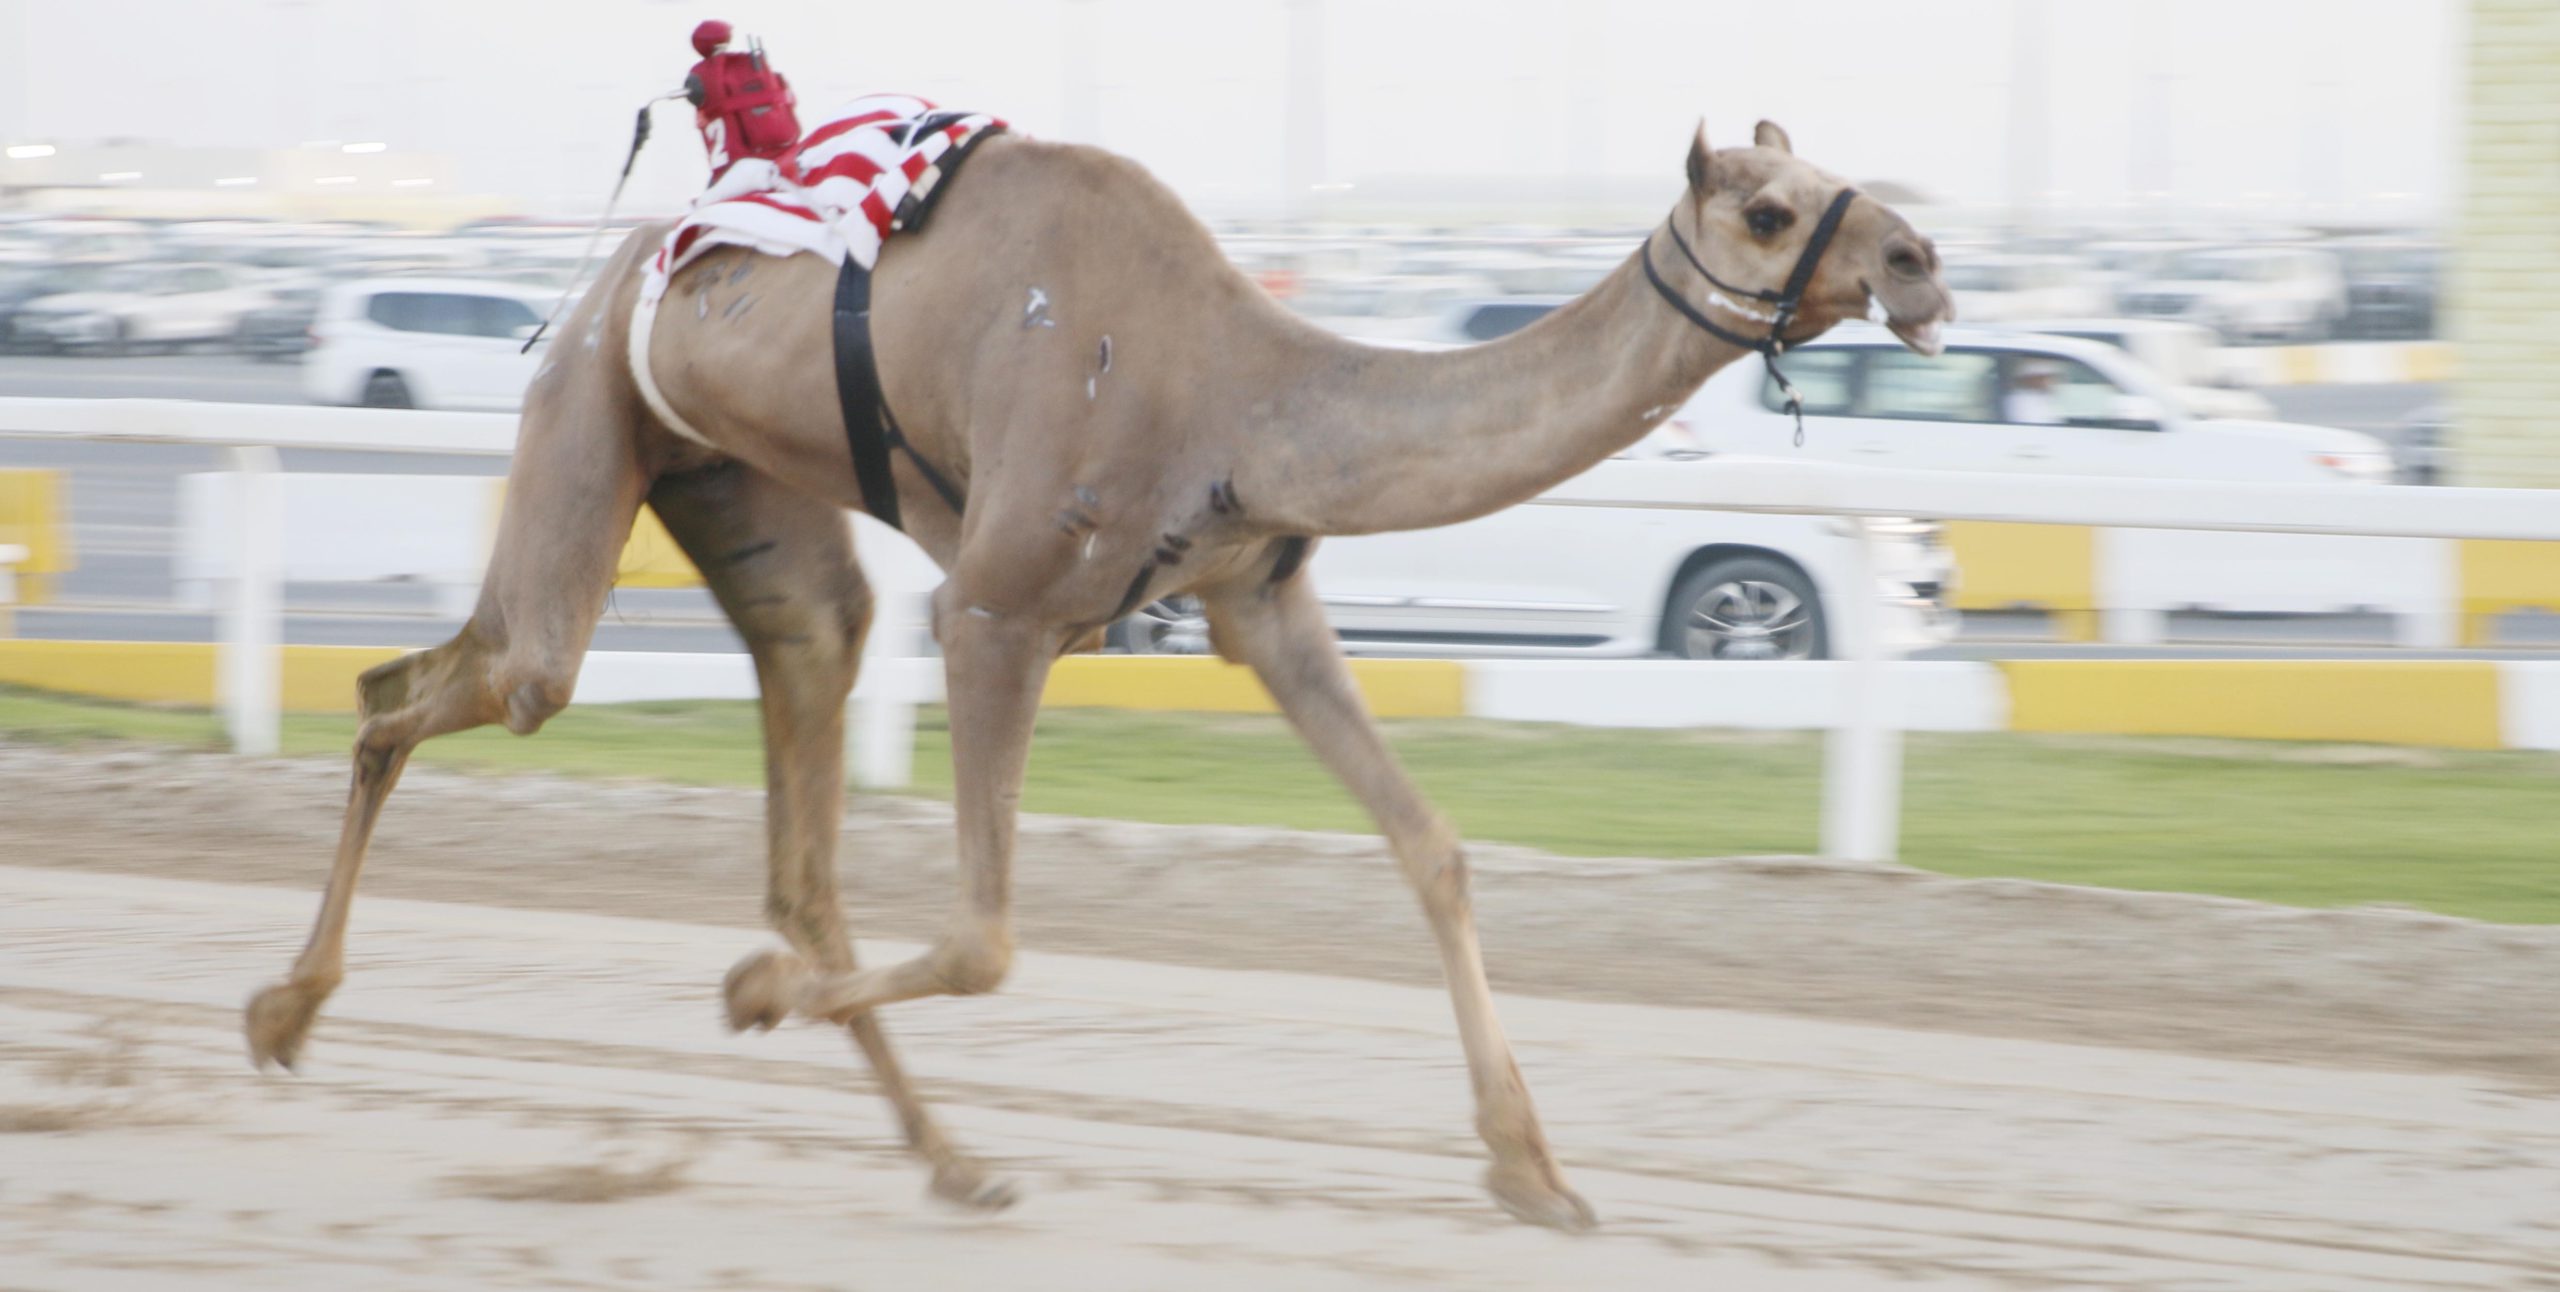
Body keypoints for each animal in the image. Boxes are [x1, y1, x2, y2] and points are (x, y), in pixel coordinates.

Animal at [244, 115, 1955, 1222]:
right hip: (598, 408)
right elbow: (988, 937)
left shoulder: (1260, 601)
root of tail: (627, 264)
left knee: (784, 763)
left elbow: (1434, 846)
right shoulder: (998, 612)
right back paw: (280, 1016)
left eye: (1828, 179)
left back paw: (951, 1159)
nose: (1922, 258)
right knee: (453, 685)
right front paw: (745, 998)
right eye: (1763, 206)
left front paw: (1532, 1168)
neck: (1244, 387)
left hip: (736, 485)